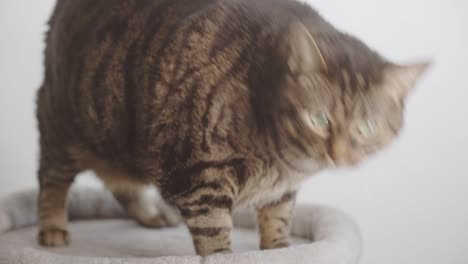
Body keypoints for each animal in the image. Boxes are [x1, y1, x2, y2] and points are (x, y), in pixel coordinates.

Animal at [36, 0, 430, 256]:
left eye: (367, 126)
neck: (289, 161)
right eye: (319, 119)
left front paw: (281, 249)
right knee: (52, 181)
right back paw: (52, 229)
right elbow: (215, 235)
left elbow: (278, 220)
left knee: (120, 183)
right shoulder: (200, 179)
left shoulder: (281, 193)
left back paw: (151, 215)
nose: (339, 154)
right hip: (61, 121)